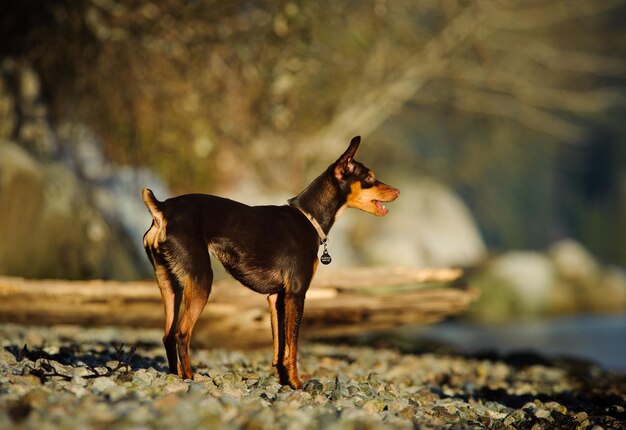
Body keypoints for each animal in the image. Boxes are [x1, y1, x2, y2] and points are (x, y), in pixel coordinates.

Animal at [141, 136, 398, 388]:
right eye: (370, 178)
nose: (397, 191)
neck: (309, 218)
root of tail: (163, 209)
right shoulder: (296, 294)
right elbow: (293, 346)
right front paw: (296, 384)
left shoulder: (276, 298)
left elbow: (280, 347)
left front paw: (284, 382)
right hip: (201, 281)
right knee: (181, 334)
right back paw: (189, 378)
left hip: (170, 284)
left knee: (167, 335)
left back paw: (174, 375)